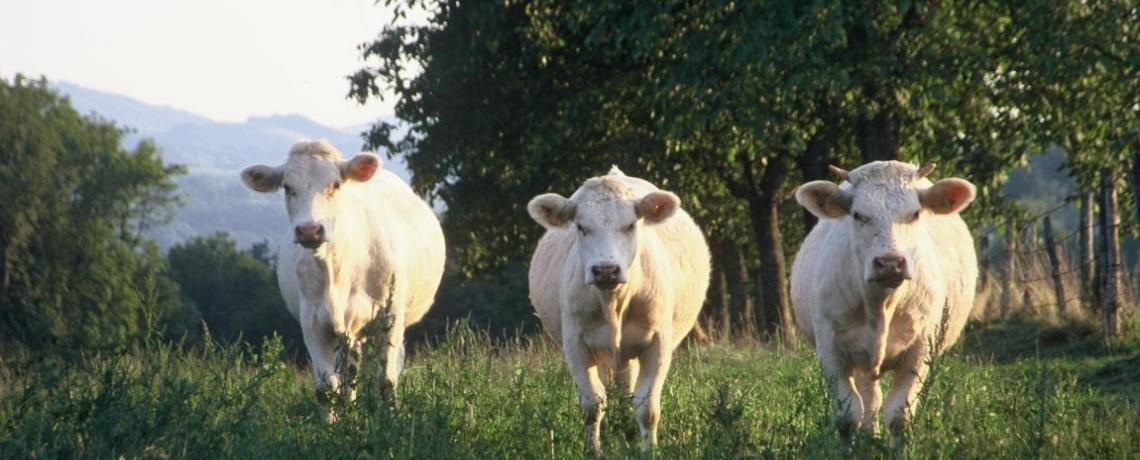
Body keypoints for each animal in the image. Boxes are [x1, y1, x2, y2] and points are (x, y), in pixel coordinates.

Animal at [241, 139, 444, 398]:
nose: (309, 230)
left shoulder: (390, 316)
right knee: (350, 376)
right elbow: (327, 388)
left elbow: (385, 382)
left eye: (336, 184)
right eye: (287, 187)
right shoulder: (312, 321)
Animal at [526, 167, 706, 455]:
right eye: (580, 227)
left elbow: (647, 407)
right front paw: (593, 451)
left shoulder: (658, 343)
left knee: (626, 389)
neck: (614, 305)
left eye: (631, 225)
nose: (605, 270)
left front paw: (648, 451)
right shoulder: (575, 343)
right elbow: (592, 403)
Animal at [788, 161, 975, 448]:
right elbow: (847, 416)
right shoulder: (830, 350)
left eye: (915, 214)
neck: (881, 306)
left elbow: (900, 417)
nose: (889, 263)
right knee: (870, 398)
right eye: (857, 215)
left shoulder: (920, 351)